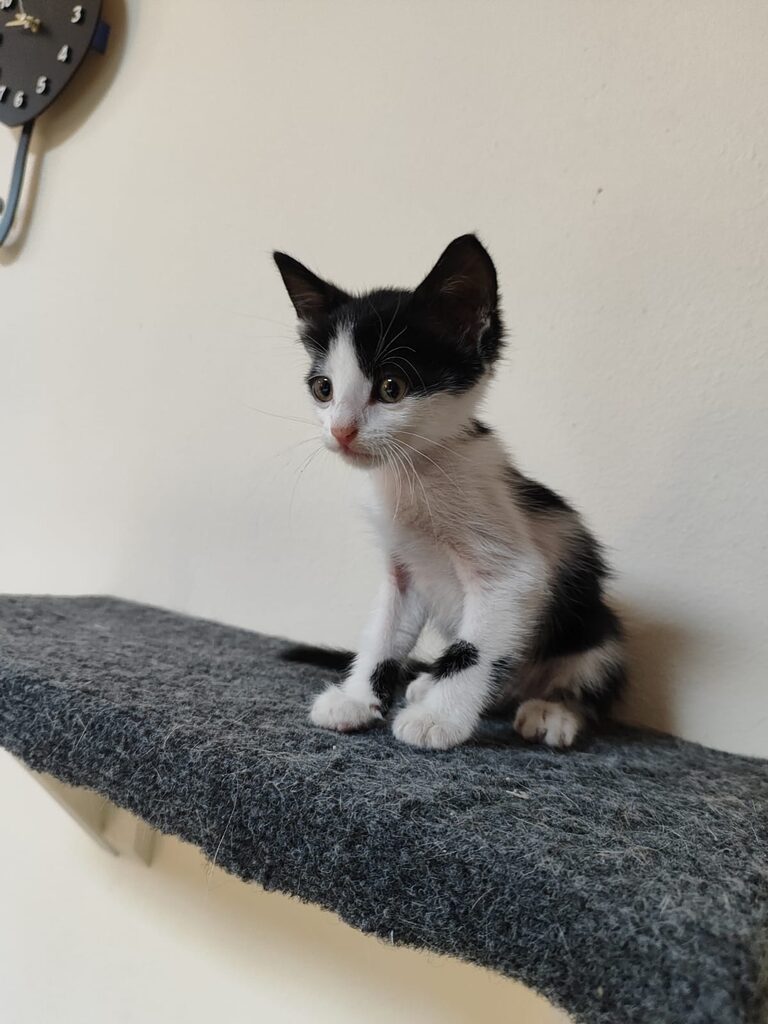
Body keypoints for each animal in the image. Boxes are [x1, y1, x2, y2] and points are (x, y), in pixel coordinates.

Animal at [273, 234, 626, 750]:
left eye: (392, 387)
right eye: (323, 389)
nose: (340, 431)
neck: (415, 473)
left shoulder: (513, 573)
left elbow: (474, 649)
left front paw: (439, 719)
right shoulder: (403, 570)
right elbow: (383, 632)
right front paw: (358, 699)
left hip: (597, 631)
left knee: (586, 676)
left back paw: (553, 709)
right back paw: (427, 683)